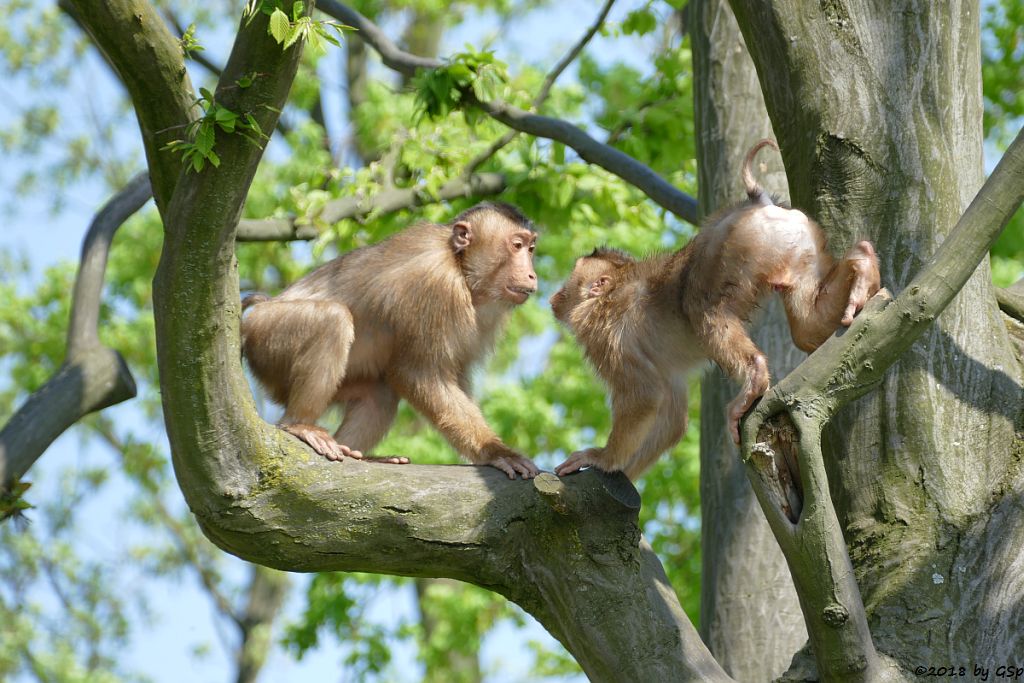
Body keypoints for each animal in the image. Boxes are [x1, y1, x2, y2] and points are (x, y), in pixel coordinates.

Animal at [240, 202, 544, 481]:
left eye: (530, 249)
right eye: (516, 245)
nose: (532, 274)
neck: (460, 267)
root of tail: (261, 307)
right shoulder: (434, 284)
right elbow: (419, 374)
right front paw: (495, 452)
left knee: (380, 394)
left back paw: (358, 455)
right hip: (266, 337)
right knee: (333, 320)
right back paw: (299, 425)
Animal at [552, 139, 880, 481]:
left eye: (571, 280)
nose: (555, 296)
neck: (608, 297)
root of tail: (757, 203)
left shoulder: (605, 340)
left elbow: (644, 396)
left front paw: (603, 459)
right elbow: (671, 415)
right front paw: (624, 473)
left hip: (738, 244)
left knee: (699, 306)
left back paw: (754, 376)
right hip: (799, 242)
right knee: (806, 327)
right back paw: (863, 264)